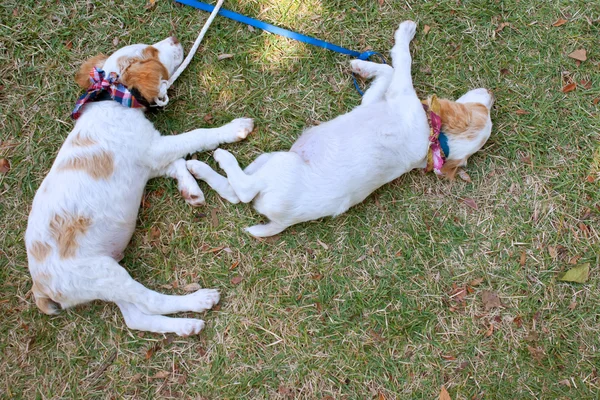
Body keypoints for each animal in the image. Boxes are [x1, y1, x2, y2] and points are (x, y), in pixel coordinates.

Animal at [24, 36, 254, 336]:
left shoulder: (150, 160)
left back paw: (185, 326)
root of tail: (40, 287)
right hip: (103, 273)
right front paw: (234, 128)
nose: (174, 38)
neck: (115, 101)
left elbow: (178, 163)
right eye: (151, 51)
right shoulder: (154, 148)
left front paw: (191, 190)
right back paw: (198, 300)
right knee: (151, 301)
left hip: (104, 275)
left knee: (136, 317)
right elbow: (196, 136)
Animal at [190, 21, 494, 238]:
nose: (491, 93)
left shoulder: (401, 92)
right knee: (233, 192)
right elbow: (386, 71)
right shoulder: (374, 100)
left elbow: (400, 63)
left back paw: (220, 157)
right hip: (269, 159)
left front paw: (404, 34)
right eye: (484, 108)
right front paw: (362, 65)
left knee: (242, 190)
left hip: (282, 164)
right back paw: (198, 168)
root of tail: (281, 221)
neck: (434, 139)